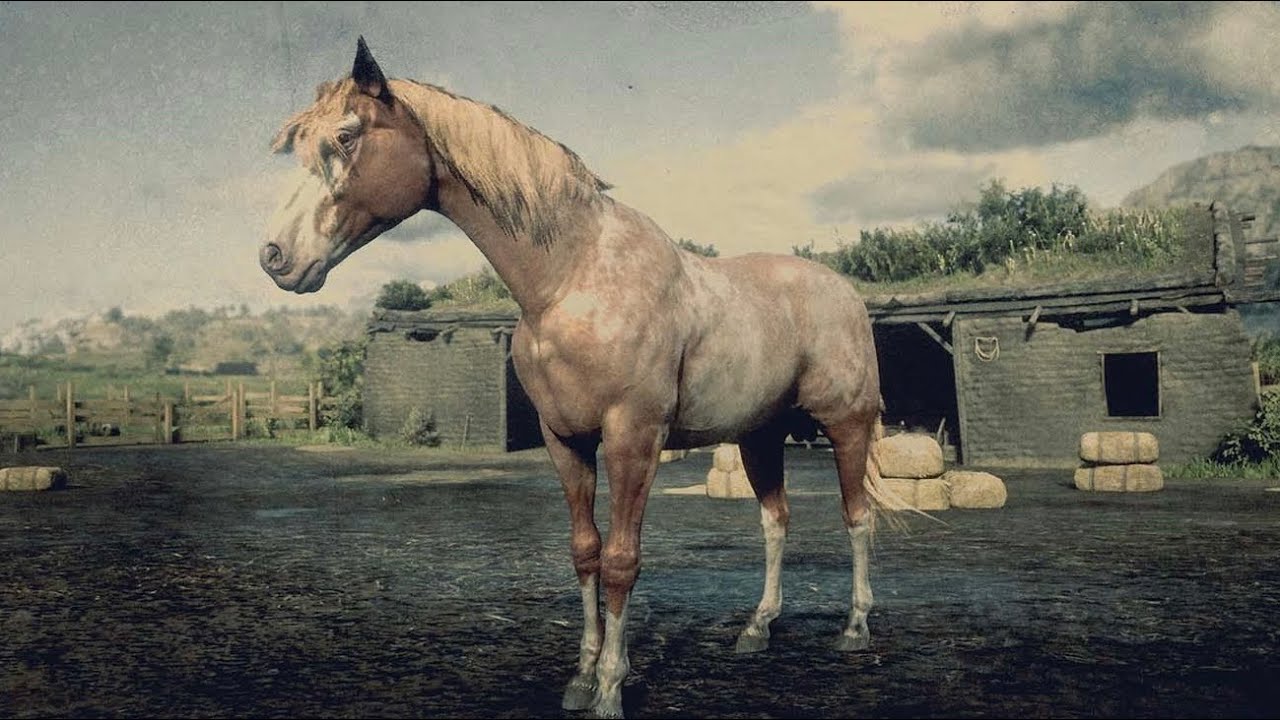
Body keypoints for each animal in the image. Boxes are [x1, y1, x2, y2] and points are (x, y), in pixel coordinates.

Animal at [260, 37, 896, 719]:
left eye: (347, 136)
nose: (275, 257)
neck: (571, 279)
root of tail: (844, 293)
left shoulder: (632, 440)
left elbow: (621, 560)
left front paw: (612, 688)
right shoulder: (565, 441)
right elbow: (585, 552)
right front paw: (584, 676)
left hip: (846, 425)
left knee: (857, 517)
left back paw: (855, 628)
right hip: (759, 436)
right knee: (776, 522)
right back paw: (757, 628)